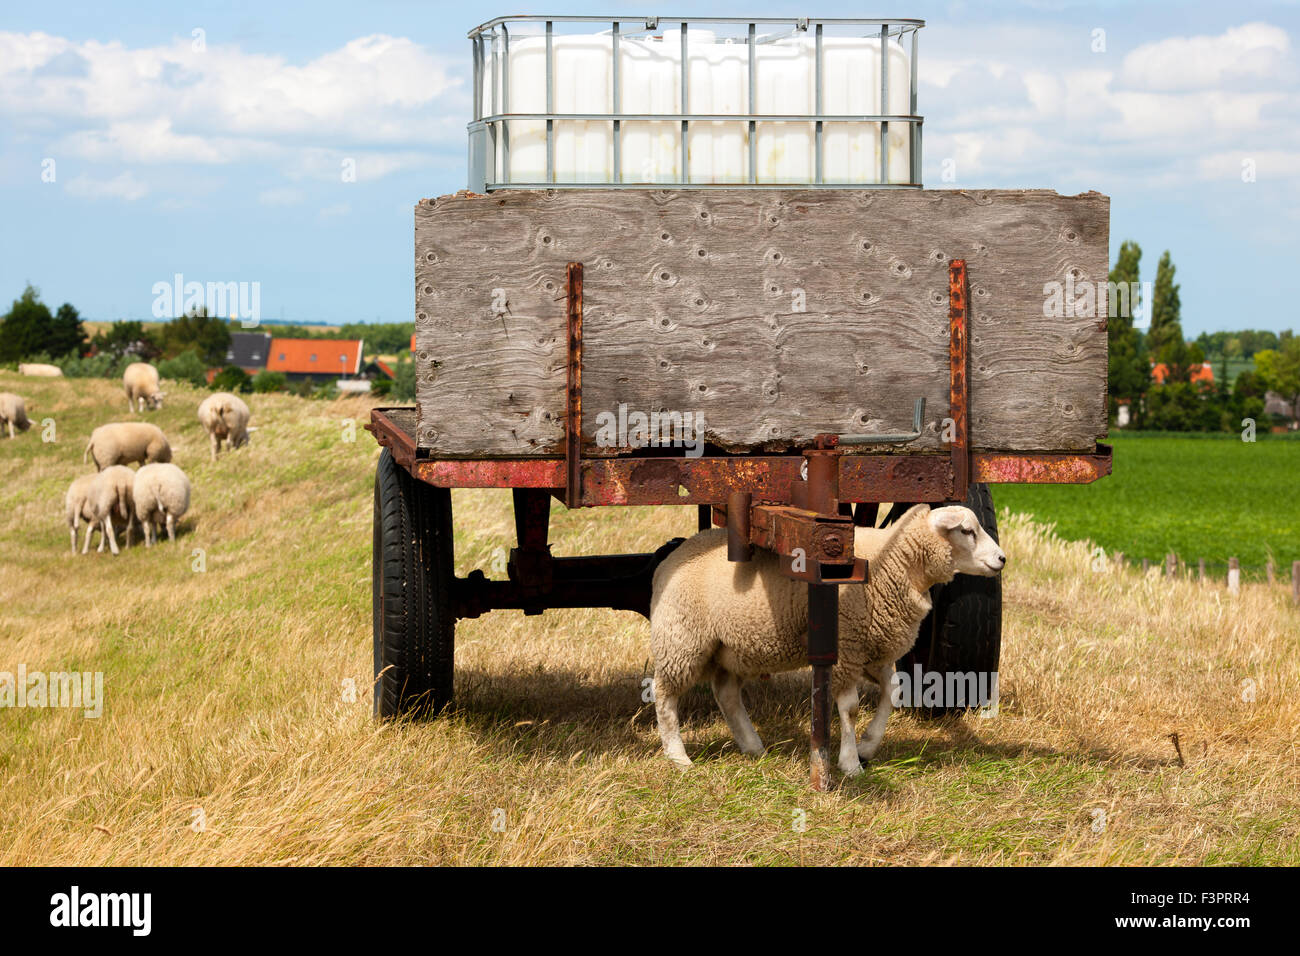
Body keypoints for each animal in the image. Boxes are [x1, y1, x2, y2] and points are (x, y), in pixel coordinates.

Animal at [650, 504, 1003, 775]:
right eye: (967, 531)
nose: (1002, 559)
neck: (895, 564)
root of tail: (668, 559)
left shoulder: (870, 650)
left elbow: (894, 690)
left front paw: (868, 746)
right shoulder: (846, 648)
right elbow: (850, 708)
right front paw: (850, 763)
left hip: (732, 647)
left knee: (726, 693)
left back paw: (753, 747)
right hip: (682, 639)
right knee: (665, 695)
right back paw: (678, 757)